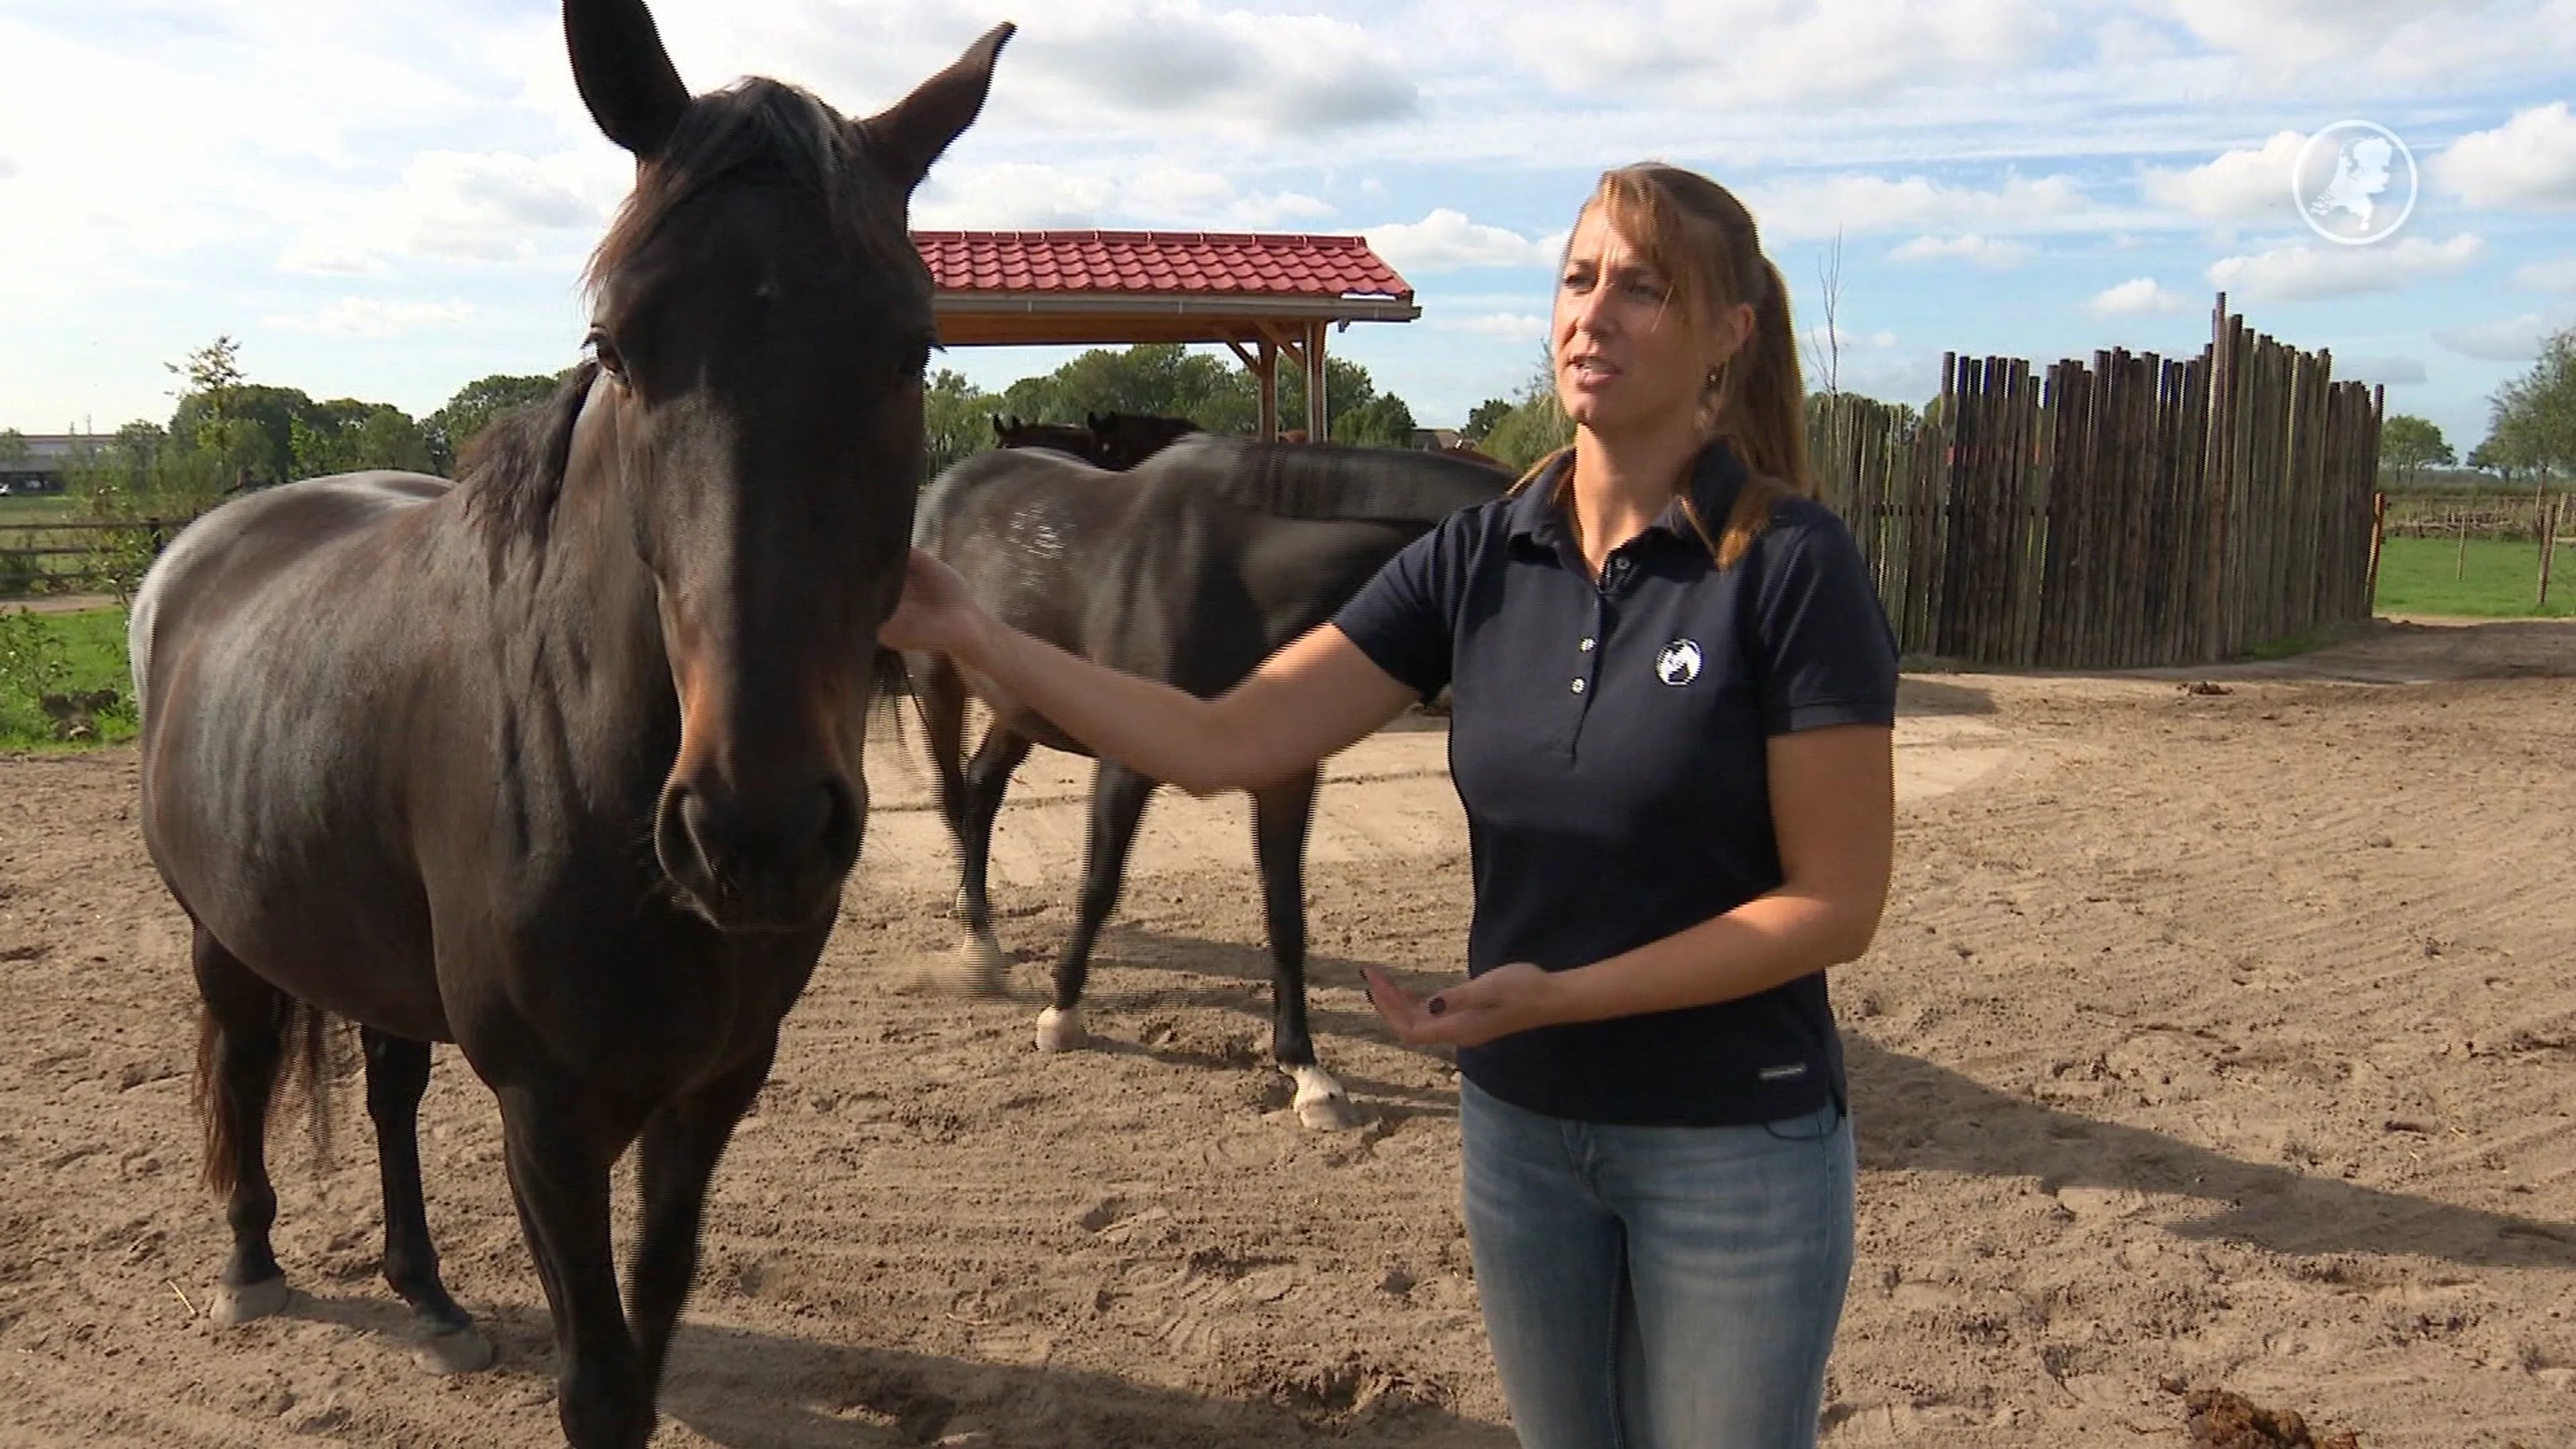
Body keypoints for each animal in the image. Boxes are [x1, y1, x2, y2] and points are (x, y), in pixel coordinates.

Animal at [128, 5, 1009, 1444]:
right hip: (223, 932)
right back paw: (253, 1262)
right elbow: (597, 1383)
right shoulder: (549, 1115)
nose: (755, 830)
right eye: (616, 346)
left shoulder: (715, 1087)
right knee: (250, 1059)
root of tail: (195, 551)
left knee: (387, 1083)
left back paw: (426, 1291)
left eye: (911, 349)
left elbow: (654, 1308)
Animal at [904, 435, 1510, 1129]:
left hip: (1022, 702)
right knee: (954, 794)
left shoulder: (1287, 776)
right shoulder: (1125, 763)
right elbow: (1099, 887)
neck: (1236, 575)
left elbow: (1286, 916)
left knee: (982, 788)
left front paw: (1308, 1073)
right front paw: (1062, 1016)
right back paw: (977, 939)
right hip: (938, 684)